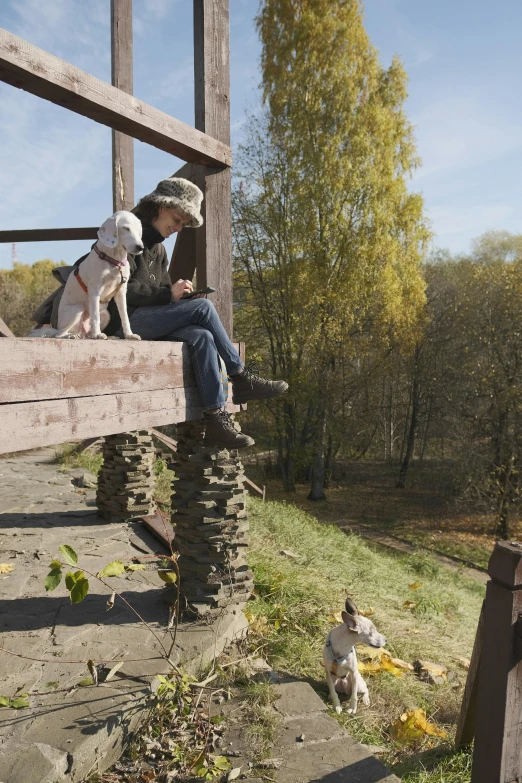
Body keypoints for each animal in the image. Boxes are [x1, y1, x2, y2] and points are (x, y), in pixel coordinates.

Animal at [51, 211, 143, 340]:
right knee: (59, 334)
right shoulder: (95, 289)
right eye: (126, 228)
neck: (114, 261)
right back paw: (71, 336)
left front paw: (129, 335)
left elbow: (125, 317)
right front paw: (97, 334)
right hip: (77, 309)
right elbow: (95, 316)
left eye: (138, 229)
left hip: (106, 314)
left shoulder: (121, 292)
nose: (141, 247)